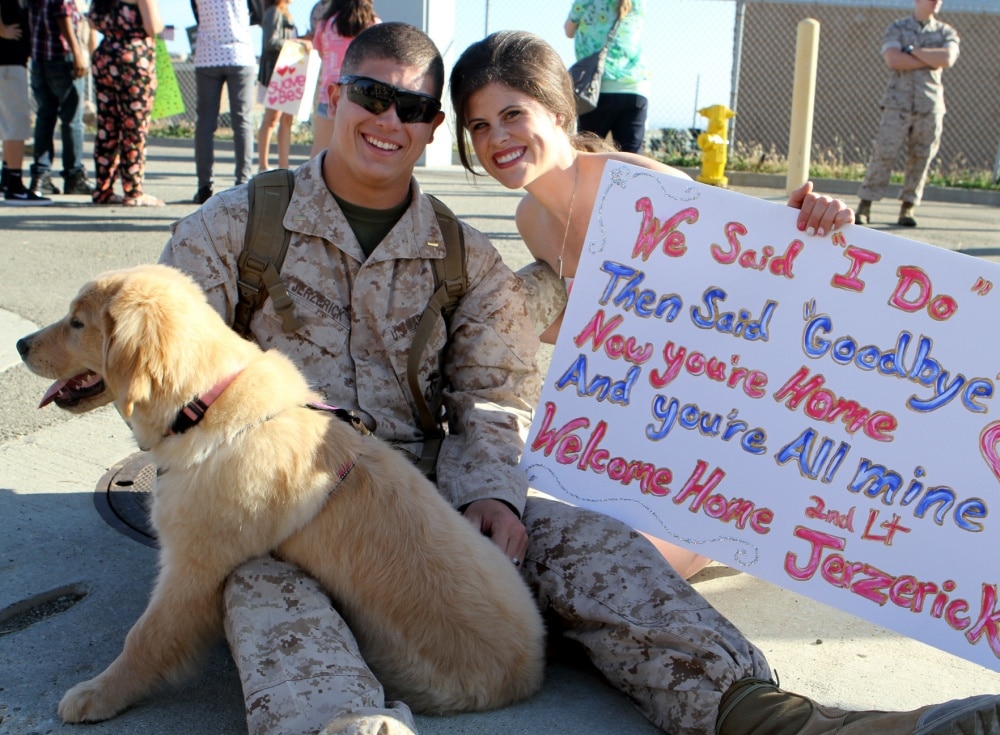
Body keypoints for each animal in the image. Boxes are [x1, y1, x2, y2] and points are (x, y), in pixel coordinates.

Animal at [15, 264, 544, 724]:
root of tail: (529, 675)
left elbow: (146, 637)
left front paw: (96, 694)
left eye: (77, 323)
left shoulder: (193, 567)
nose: (19, 344)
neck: (207, 405)